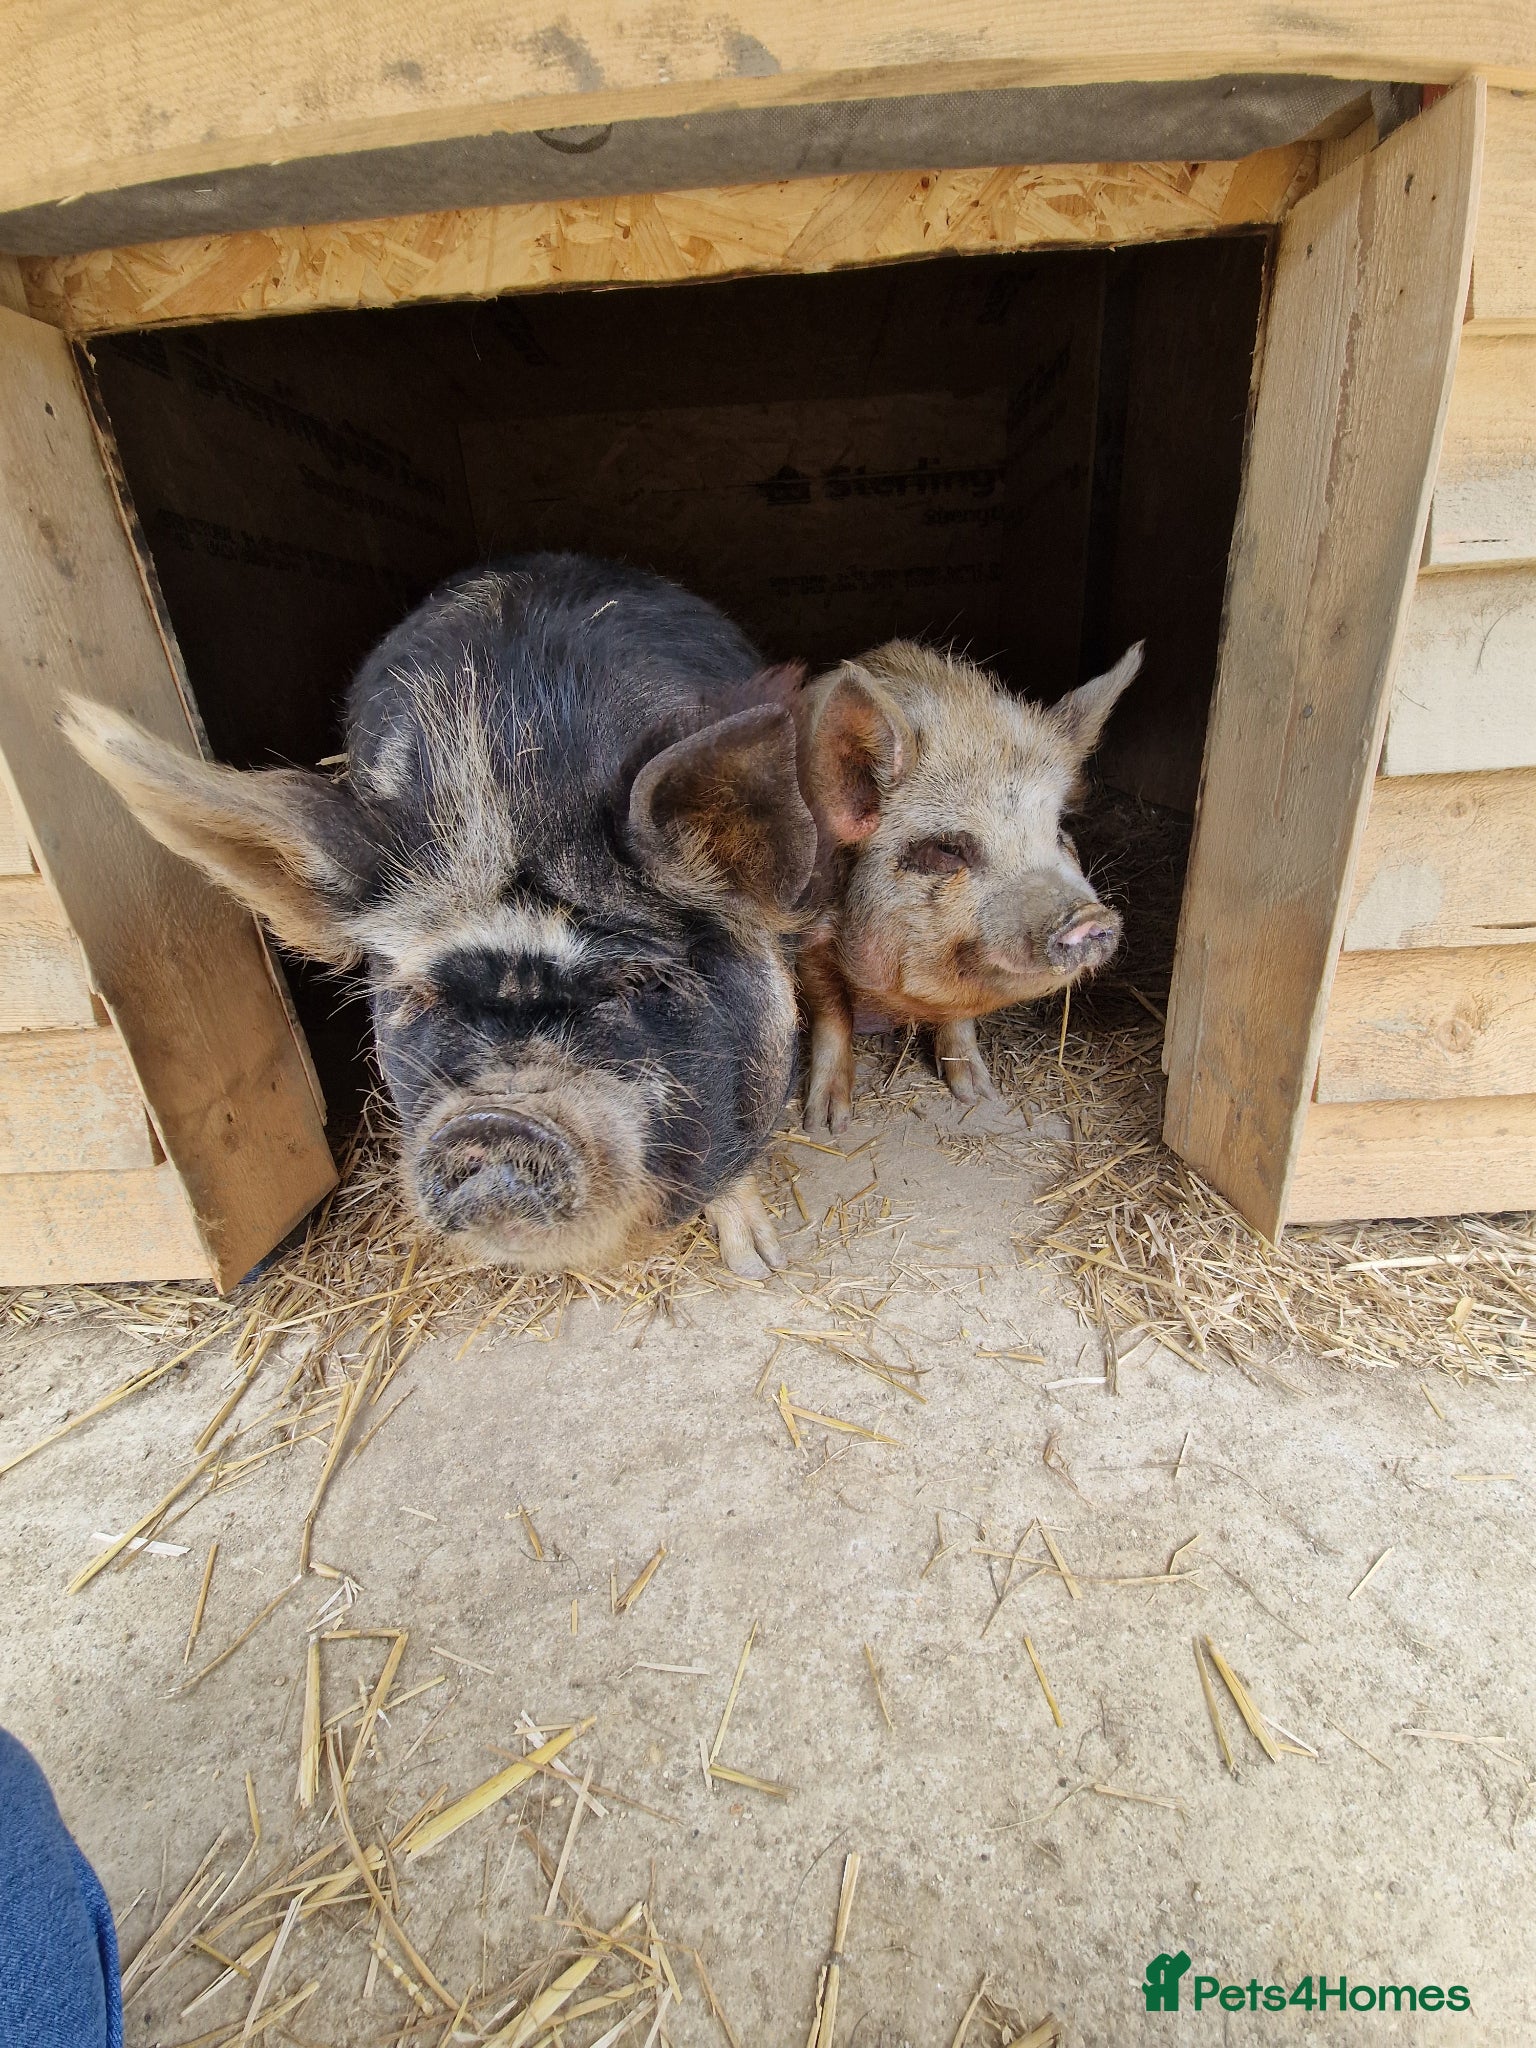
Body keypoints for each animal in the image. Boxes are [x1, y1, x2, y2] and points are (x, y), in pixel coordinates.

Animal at [794, 637, 1143, 1132]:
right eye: (948, 849)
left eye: (1058, 828)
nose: (1089, 917)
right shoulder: (806, 931)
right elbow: (831, 1013)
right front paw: (828, 1123)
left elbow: (959, 1016)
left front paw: (978, 1094)